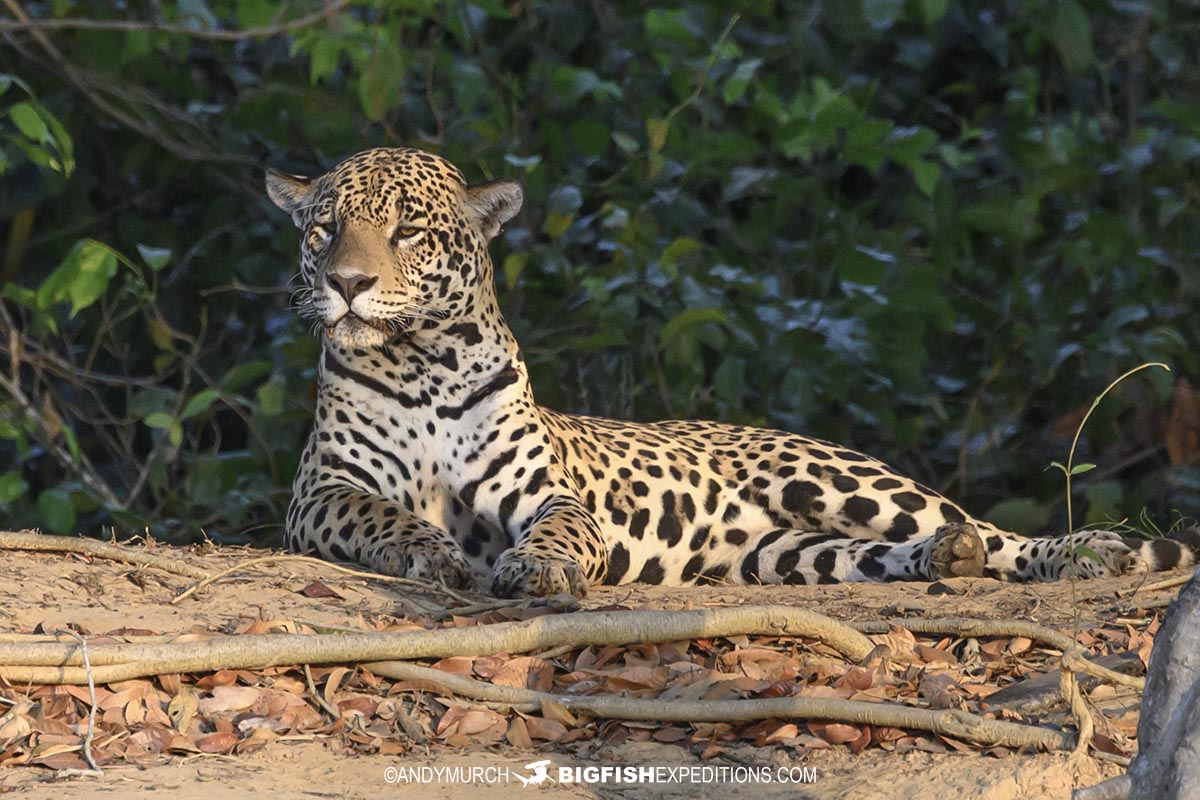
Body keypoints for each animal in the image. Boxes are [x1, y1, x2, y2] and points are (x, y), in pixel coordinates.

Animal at [266, 146, 1199, 599]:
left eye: (410, 232)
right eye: (324, 229)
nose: (348, 284)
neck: (421, 362)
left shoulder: (544, 492)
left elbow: (562, 530)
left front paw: (539, 570)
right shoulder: (324, 491)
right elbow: (386, 517)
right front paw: (435, 555)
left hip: (847, 483)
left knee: (991, 530)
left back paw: (1087, 553)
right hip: (784, 556)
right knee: (901, 554)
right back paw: (948, 559)